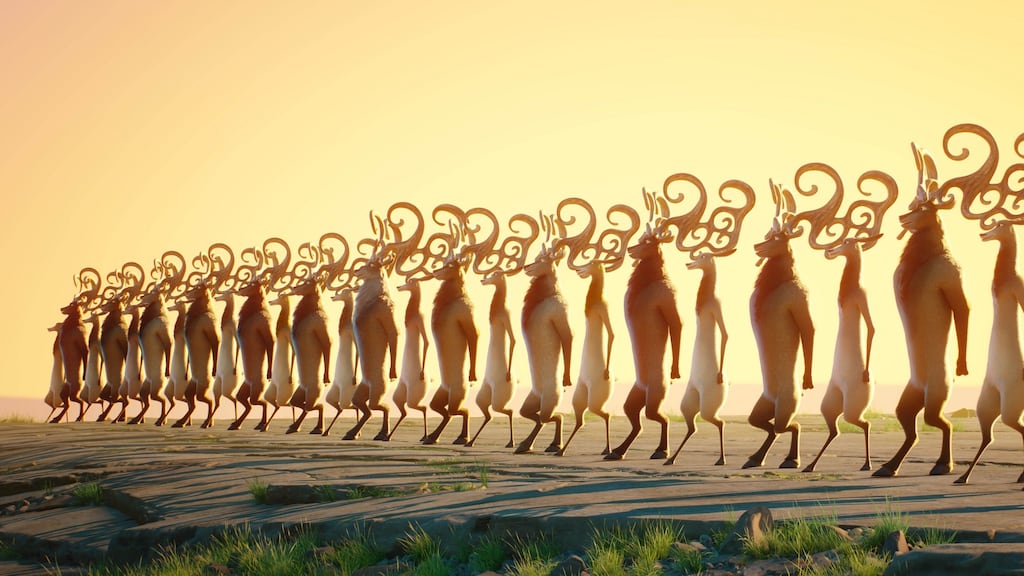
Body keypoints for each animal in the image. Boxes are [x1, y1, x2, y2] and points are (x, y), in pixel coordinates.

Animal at [556, 200, 639, 457]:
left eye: (593, 263)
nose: (579, 270)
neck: (593, 302)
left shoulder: (603, 308)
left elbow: (612, 333)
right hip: (580, 396)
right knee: (582, 419)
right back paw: (564, 450)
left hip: (595, 398)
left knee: (606, 414)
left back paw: (611, 449)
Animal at [664, 177, 756, 467]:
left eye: (704, 256)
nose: (689, 262)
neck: (704, 300)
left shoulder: (716, 307)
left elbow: (725, 334)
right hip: (690, 401)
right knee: (693, 425)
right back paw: (671, 459)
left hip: (708, 405)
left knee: (719, 422)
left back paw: (722, 459)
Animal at [796, 164, 897, 473]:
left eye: (848, 241)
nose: (830, 251)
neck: (850, 286)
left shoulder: (861, 297)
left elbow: (873, 328)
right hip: (831, 403)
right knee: (836, 429)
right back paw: (810, 465)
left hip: (853, 406)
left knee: (864, 424)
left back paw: (867, 464)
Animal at [873, 140, 969, 478]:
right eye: (913, 204)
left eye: (924, 208)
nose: (903, 218)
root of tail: (925, 387)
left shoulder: (951, 276)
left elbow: (962, 309)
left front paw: (963, 364)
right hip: (909, 398)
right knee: (912, 429)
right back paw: (888, 466)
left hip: (936, 397)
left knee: (942, 423)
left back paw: (944, 464)